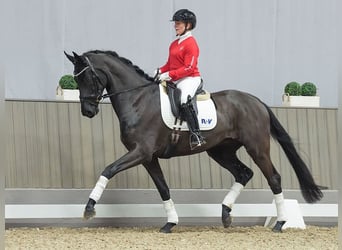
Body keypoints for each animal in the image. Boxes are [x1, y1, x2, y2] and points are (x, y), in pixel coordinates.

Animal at [65, 49, 324, 233]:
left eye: (88, 76)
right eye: (76, 80)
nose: (88, 111)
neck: (138, 99)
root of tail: (255, 101)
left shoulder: (141, 152)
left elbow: (108, 169)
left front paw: (89, 208)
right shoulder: (148, 157)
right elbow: (163, 187)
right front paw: (170, 223)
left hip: (257, 147)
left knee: (273, 178)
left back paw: (280, 223)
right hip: (221, 151)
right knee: (244, 173)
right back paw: (226, 214)